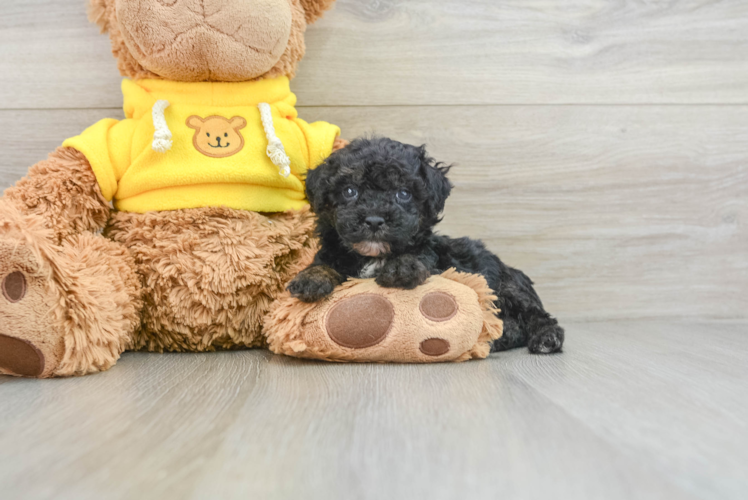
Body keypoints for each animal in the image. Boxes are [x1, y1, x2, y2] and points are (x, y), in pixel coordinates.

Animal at [290, 138, 564, 356]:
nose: (375, 220)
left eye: (403, 193)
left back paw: (546, 338)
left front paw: (401, 268)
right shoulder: (333, 252)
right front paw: (311, 278)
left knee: (535, 316)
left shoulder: (435, 262)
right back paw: (498, 337)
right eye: (349, 191)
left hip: (507, 287)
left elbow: (415, 257)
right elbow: (323, 263)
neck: (374, 256)